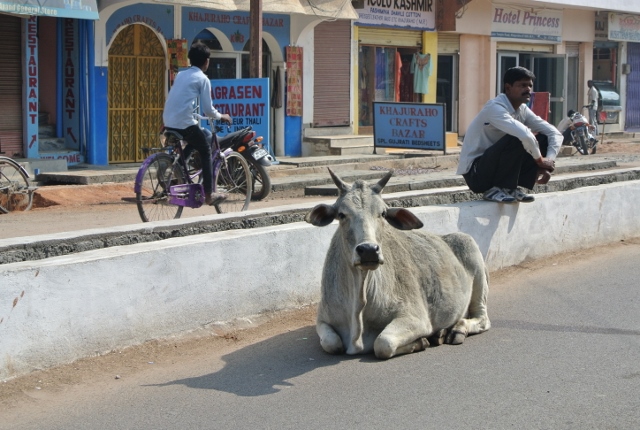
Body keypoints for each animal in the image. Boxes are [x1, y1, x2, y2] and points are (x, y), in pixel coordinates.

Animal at [304, 168, 490, 360]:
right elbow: (331, 343)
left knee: (482, 318)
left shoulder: (416, 318)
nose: (369, 250)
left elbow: (382, 343)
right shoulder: (322, 319)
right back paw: (441, 333)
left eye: (383, 213)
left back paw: (457, 330)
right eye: (341, 214)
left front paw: (420, 342)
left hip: (474, 260)